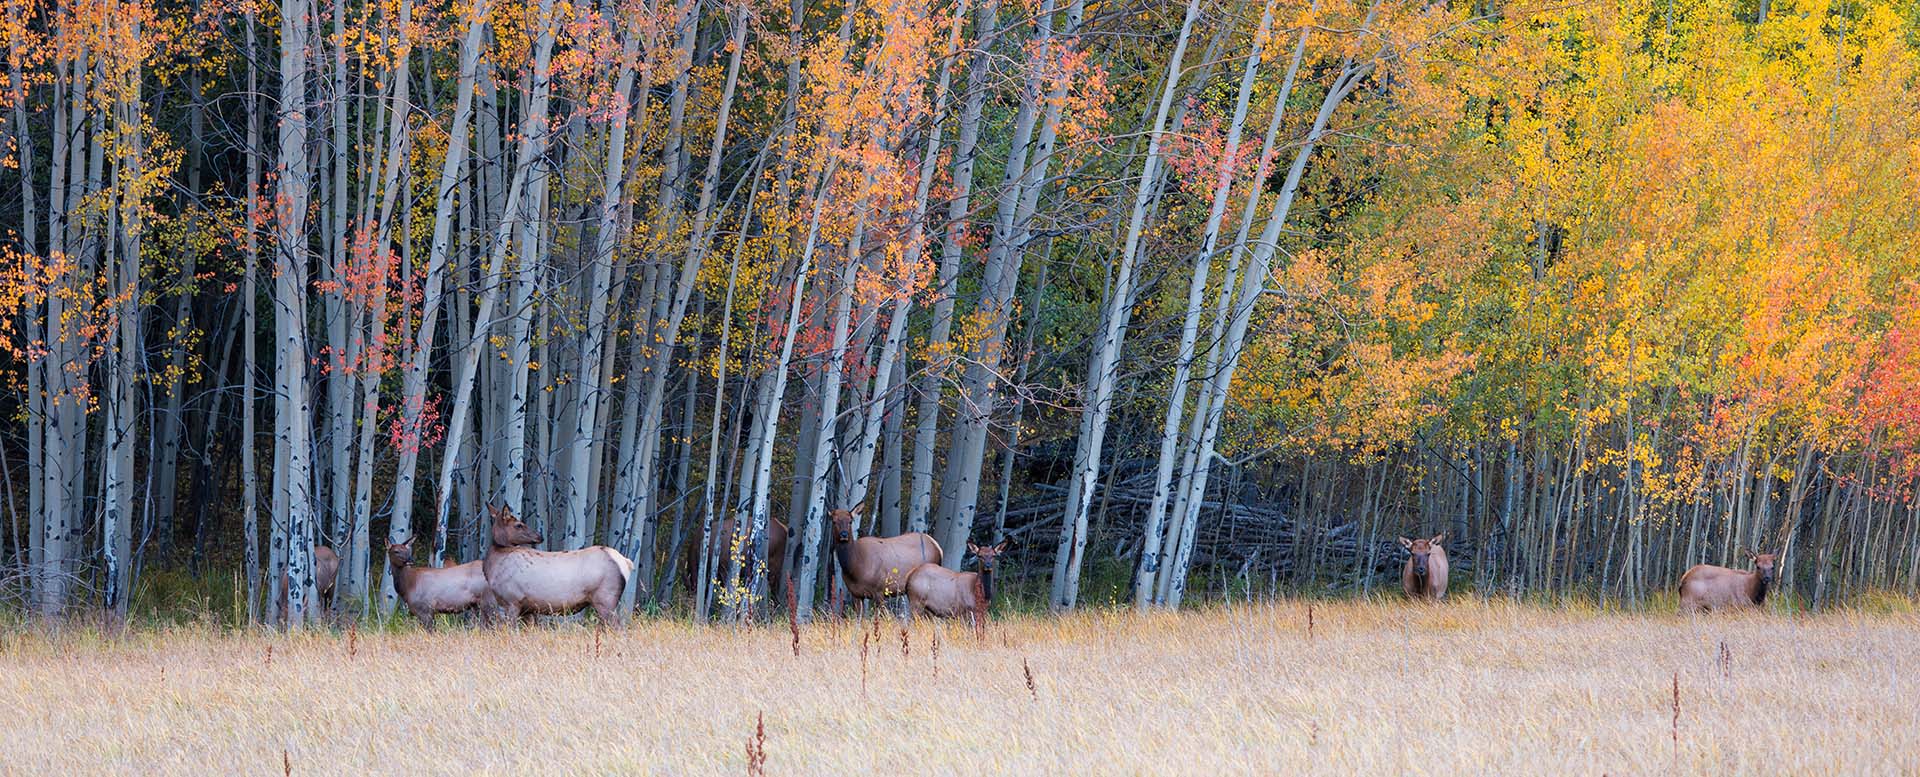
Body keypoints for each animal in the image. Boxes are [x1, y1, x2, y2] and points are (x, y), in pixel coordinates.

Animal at [480, 502, 637, 625]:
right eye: (519, 525)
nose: (539, 536)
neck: (492, 570)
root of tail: (626, 563)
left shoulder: (512, 600)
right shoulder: (527, 608)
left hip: (606, 598)